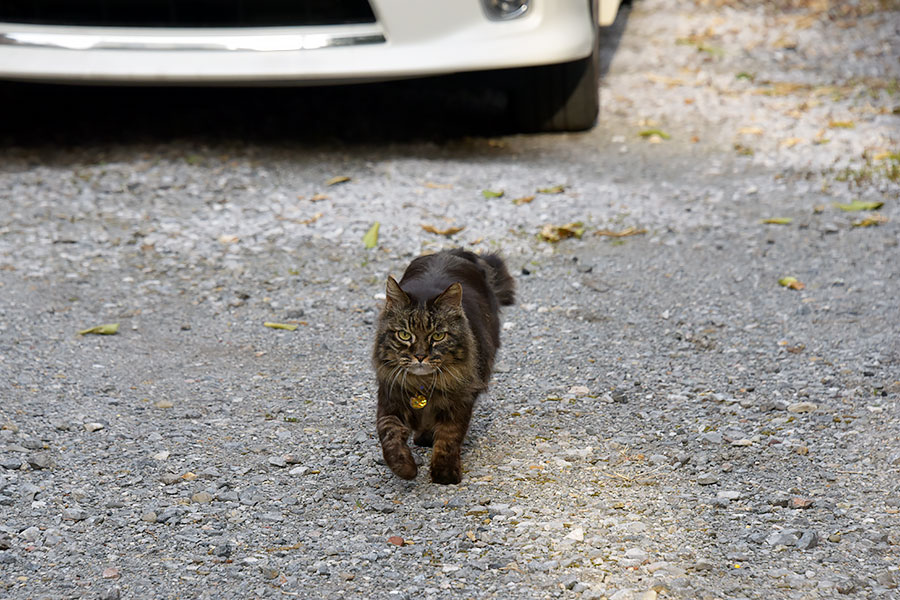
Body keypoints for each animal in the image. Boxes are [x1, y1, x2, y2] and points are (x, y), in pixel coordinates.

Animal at [370, 247, 512, 482]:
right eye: (404, 335)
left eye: (437, 336)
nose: (420, 356)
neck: (424, 384)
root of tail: (451, 252)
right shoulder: (390, 398)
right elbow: (390, 437)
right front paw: (405, 468)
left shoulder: (460, 400)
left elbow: (449, 438)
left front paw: (444, 474)